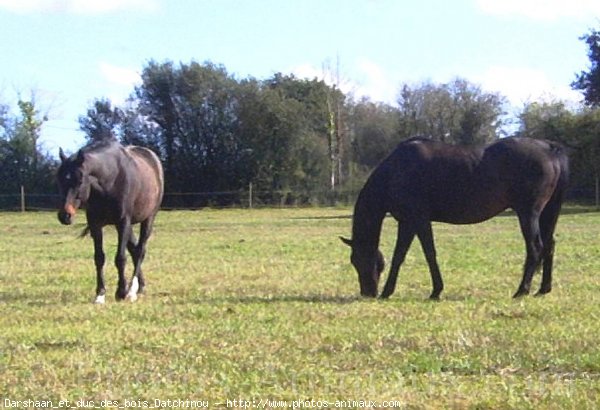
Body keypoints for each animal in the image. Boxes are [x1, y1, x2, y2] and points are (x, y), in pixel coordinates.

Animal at [56, 139, 164, 302]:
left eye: (80, 180)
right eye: (60, 179)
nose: (65, 216)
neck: (110, 180)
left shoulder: (123, 223)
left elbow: (120, 258)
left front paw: (121, 292)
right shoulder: (95, 224)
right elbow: (99, 257)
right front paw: (100, 294)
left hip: (148, 219)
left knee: (140, 251)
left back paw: (132, 290)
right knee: (134, 250)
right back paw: (140, 287)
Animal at [340, 136, 568, 300]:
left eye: (358, 260)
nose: (367, 293)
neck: (396, 171)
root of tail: (549, 148)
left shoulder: (417, 219)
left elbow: (425, 254)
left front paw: (433, 291)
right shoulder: (408, 222)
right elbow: (403, 255)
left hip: (528, 213)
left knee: (535, 247)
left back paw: (521, 290)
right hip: (545, 213)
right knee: (549, 245)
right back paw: (543, 289)